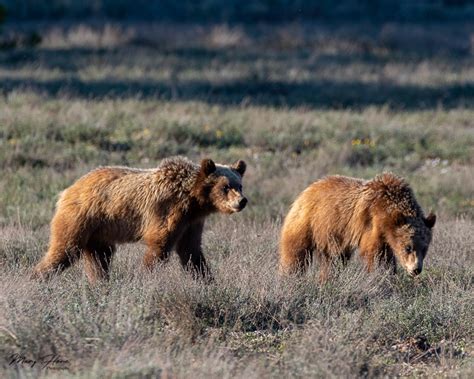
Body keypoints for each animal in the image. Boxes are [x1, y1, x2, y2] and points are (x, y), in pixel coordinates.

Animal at [33, 156, 248, 284]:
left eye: (239, 185)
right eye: (225, 187)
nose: (242, 201)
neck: (193, 201)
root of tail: (68, 190)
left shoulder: (191, 222)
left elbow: (191, 251)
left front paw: (208, 281)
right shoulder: (168, 211)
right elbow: (159, 246)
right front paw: (144, 278)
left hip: (98, 232)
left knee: (100, 257)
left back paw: (101, 283)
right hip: (81, 218)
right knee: (65, 249)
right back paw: (36, 278)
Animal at [278, 172, 436, 282]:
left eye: (424, 248)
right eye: (408, 247)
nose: (416, 269)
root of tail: (306, 191)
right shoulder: (371, 223)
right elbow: (375, 254)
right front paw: (379, 276)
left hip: (332, 237)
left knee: (333, 261)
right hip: (306, 222)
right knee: (295, 254)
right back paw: (289, 278)